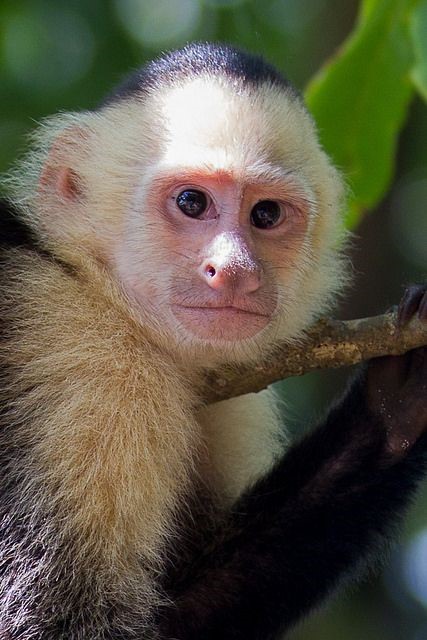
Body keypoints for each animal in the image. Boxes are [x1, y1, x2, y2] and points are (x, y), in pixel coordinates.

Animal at [0, 42, 426, 640]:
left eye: (266, 214)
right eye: (191, 203)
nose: (234, 270)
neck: (94, 286)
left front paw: (398, 401)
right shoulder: (89, 362)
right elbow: (66, 619)